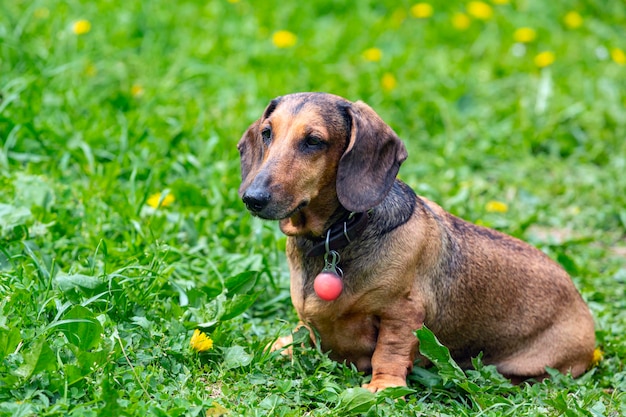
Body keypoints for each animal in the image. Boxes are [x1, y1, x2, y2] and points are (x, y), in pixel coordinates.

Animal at [236, 92, 592, 392]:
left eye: (313, 141)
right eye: (267, 133)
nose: (252, 198)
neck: (331, 239)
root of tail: (581, 304)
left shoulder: (402, 313)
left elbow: (389, 351)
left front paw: (383, 387)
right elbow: (303, 332)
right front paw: (283, 345)